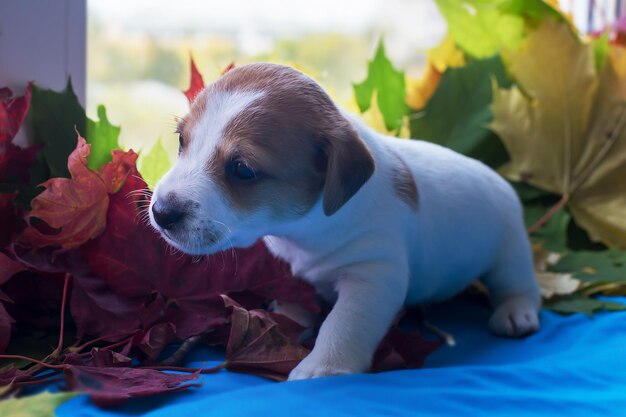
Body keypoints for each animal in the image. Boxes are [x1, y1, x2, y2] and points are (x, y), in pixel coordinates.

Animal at [149, 62, 540, 380]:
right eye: (182, 140)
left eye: (243, 169)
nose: (160, 212)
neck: (304, 230)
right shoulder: (292, 271)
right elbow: (295, 301)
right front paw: (282, 325)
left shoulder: (373, 276)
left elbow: (343, 324)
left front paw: (323, 367)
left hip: (509, 253)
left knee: (519, 287)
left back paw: (515, 313)